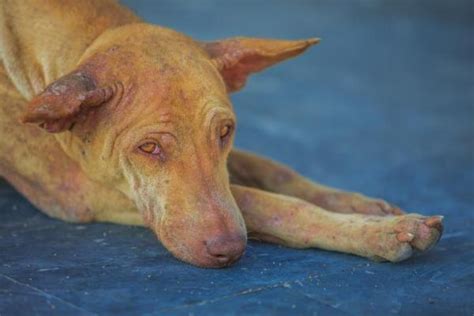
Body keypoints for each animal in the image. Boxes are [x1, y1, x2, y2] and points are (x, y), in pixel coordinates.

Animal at [0, 0, 444, 266]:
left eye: (225, 132)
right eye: (148, 147)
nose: (228, 251)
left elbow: (274, 171)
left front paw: (359, 206)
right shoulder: (85, 192)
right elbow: (272, 204)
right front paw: (378, 233)